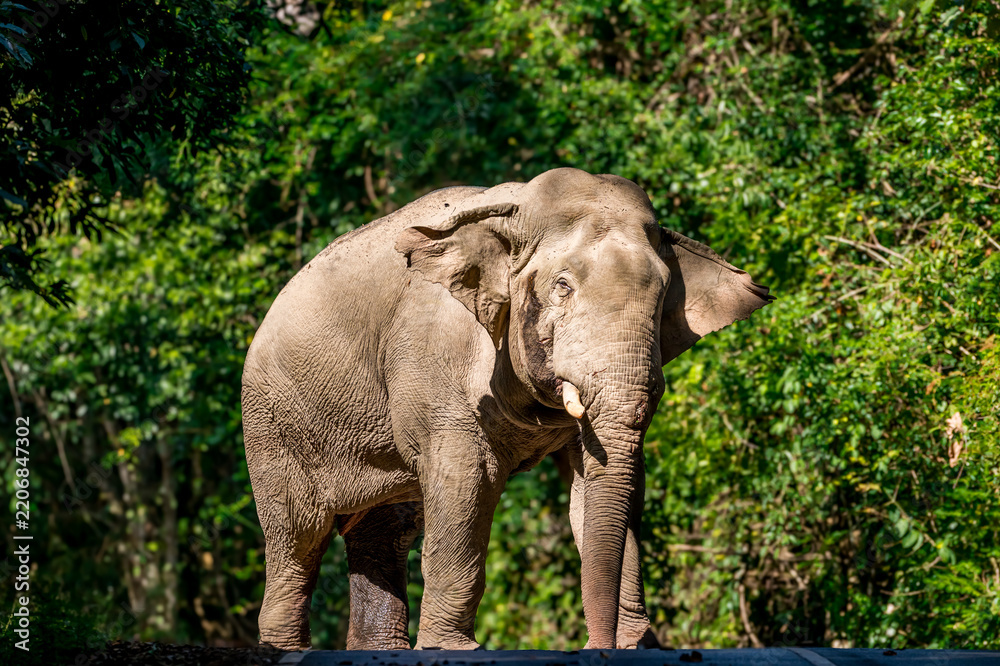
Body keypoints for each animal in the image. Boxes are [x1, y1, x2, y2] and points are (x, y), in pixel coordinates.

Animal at [241, 167, 771, 651]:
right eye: (563, 287)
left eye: (662, 299)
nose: (596, 646)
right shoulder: (438, 364)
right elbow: (467, 479)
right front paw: (451, 650)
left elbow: (595, 485)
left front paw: (636, 646)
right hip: (272, 422)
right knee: (299, 535)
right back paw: (285, 648)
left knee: (386, 531)